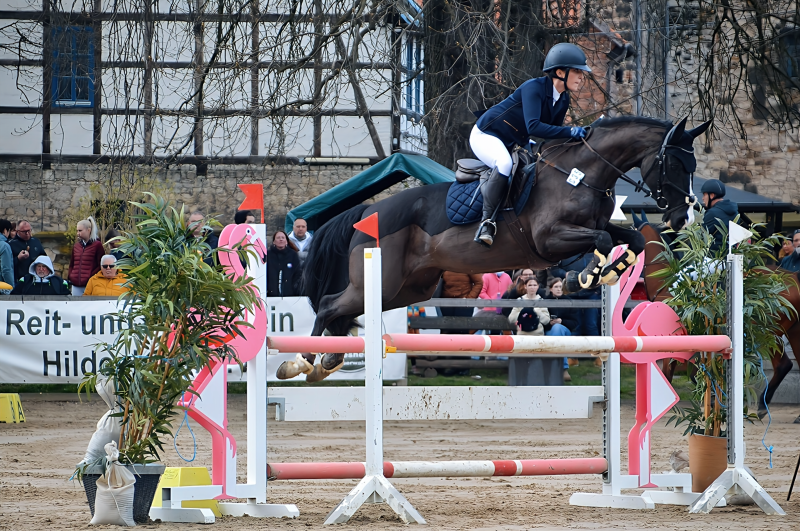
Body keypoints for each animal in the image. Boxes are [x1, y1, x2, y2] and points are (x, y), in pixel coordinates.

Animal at [280, 116, 712, 382]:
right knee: (331, 304)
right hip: (383, 281)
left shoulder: (592, 226)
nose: (683, 217)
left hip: (408, 288)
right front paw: (584, 277)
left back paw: (331, 359)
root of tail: (368, 210)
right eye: (675, 164)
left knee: (343, 308)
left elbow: (631, 239)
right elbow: (603, 242)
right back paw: (300, 361)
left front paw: (603, 273)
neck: (582, 174)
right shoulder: (549, 241)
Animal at [636, 218, 800, 422]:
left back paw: (762, 406)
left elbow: (670, 371)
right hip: (793, 332)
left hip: (768, 333)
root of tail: (793, 277)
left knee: (783, 365)